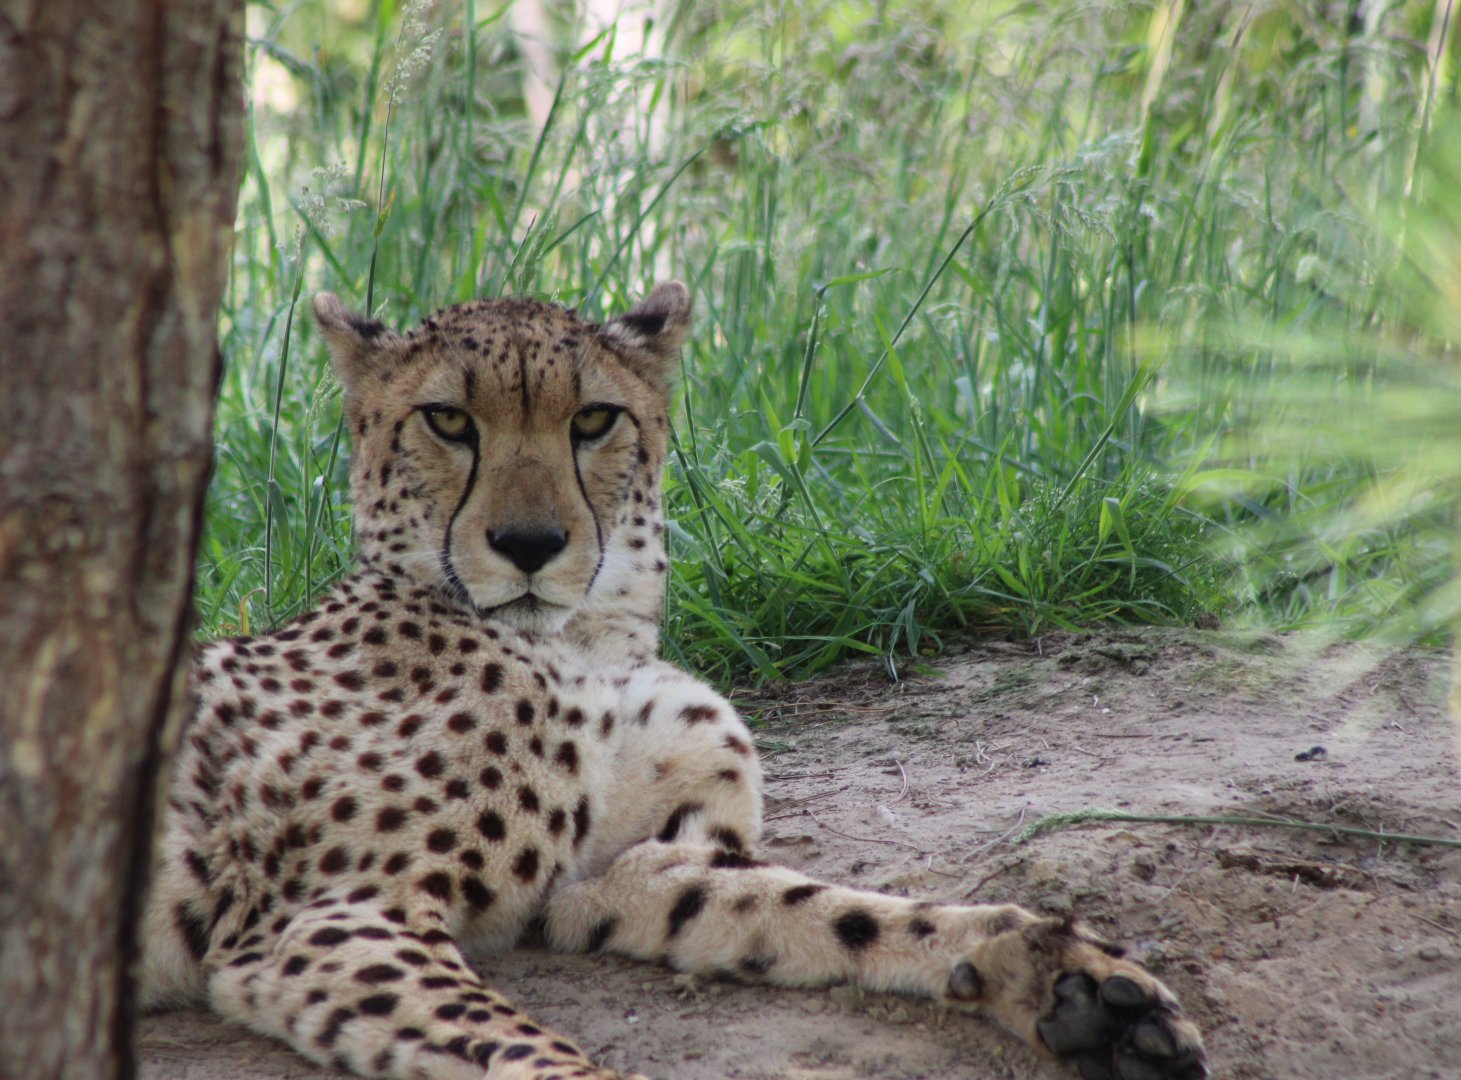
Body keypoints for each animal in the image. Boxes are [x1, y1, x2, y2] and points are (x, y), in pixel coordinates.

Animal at [139, 281, 1209, 1080]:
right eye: (445, 420)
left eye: (593, 420)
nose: (529, 544)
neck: (585, 638)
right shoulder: (327, 914)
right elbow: (525, 1048)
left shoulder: (629, 870)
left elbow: (832, 910)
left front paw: (1060, 977)